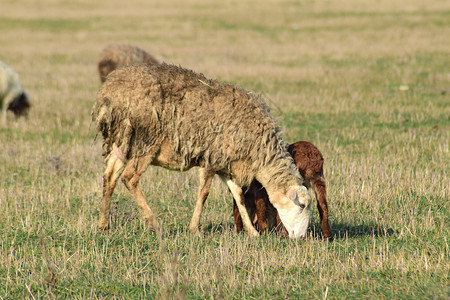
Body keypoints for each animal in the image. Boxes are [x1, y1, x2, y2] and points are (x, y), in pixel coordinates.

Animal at [89, 63, 312, 239]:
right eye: (302, 205)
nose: (301, 238)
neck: (260, 153)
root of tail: (108, 93)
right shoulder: (211, 159)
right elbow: (203, 194)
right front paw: (194, 229)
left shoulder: (226, 164)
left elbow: (239, 196)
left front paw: (253, 232)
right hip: (145, 142)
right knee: (130, 178)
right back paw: (154, 224)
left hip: (121, 142)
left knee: (109, 177)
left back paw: (104, 225)